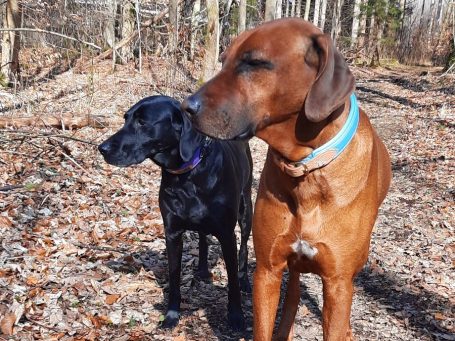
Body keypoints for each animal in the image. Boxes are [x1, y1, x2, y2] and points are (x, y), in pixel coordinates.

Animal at [99, 95, 253, 330]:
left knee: (244, 245)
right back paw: (202, 270)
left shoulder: (227, 235)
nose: (102, 148)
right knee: (202, 237)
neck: (187, 174)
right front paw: (171, 314)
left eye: (142, 122)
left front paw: (236, 317)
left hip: (246, 210)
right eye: (126, 119)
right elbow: (174, 276)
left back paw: (245, 280)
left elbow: (232, 279)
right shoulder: (172, 233)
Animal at [182, 19, 392, 340]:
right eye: (224, 60)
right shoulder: (267, 271)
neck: (306, 169)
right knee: (292, 289)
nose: (186, 106)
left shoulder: (338, 283)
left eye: (254, 63)